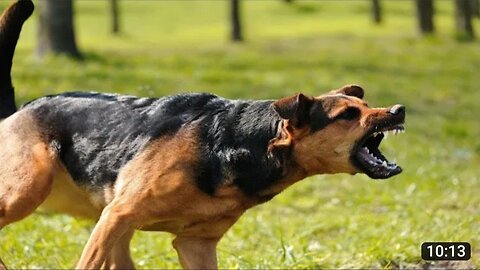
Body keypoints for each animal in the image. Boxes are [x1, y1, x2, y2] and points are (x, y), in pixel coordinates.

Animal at [0, 1, 404, 268]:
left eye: (366, 105)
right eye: (348, 114)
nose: (398, 110)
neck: (237, 145)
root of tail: (18, 110)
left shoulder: (195, 244)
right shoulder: (119, 215)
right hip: (29, 192)